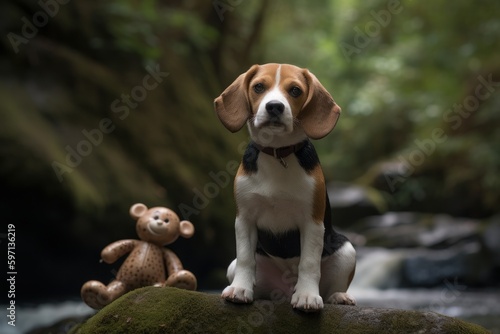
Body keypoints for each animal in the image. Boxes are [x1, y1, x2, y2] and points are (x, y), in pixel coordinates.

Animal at [215, 64, 356, 312]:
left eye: (295, 90)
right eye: (258, 87)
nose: (274, 106)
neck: (277, 153)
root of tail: (283, 291)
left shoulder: (312, 222)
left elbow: (309, 263)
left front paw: (307, 296)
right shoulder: (245, 219)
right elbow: (245, 257)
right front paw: (240, 289)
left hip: (347, 250)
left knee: (331, 287)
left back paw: (338, 296)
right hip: (237, 267)